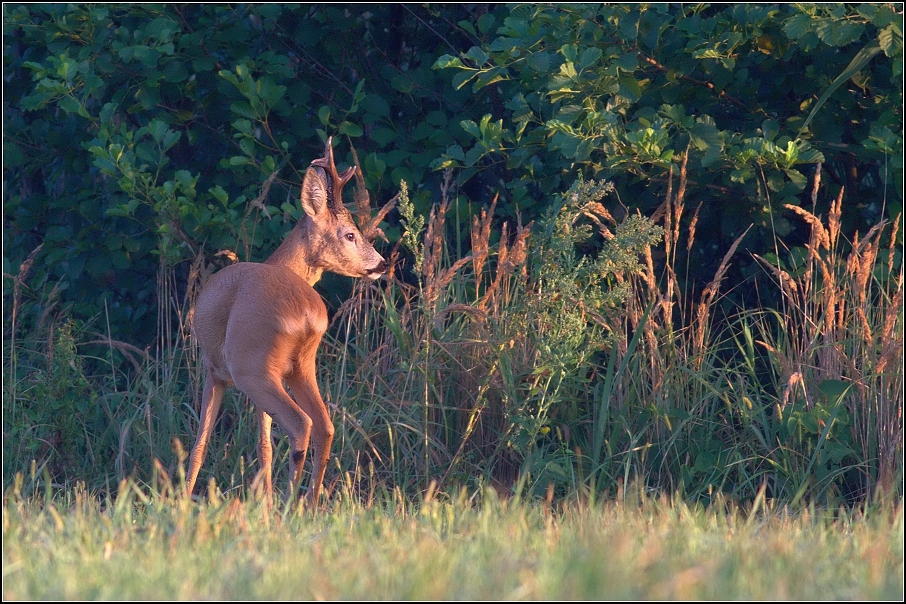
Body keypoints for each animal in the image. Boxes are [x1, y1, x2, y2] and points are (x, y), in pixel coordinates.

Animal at [187, 137, 388, 504]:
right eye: (350, 234)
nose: (381, 264)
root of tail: (305, 313)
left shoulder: (213, 369)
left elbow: (200, 444)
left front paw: (179, 500)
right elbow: (264, 446)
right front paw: (263, 504)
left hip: (251, 367)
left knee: (301, 423)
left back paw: (292, 502)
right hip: (300, 365)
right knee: (325, 425)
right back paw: (308, 504)